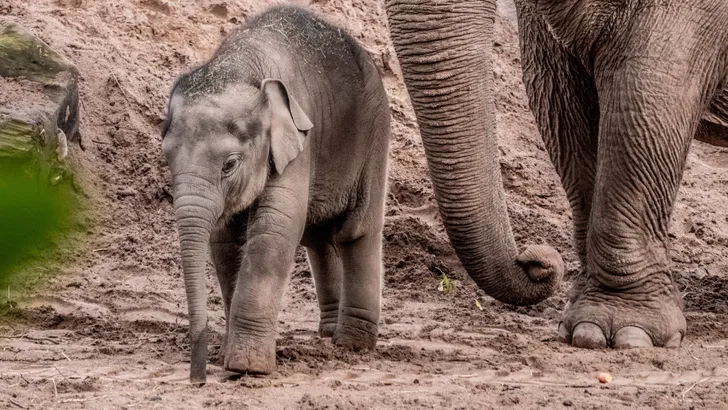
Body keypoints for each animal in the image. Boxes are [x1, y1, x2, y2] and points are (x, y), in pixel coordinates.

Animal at [162, 5, 392, 384]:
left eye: (230, 164)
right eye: (166, 158)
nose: (198, 378)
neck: (239, 65)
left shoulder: (297, 144)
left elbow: (275, 227)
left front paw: (245, 366)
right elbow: (224, 241)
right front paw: (228, 357)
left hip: (374, 133)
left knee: (356, 231)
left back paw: (351, 345)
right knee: (318, 238)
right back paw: (328, 333)